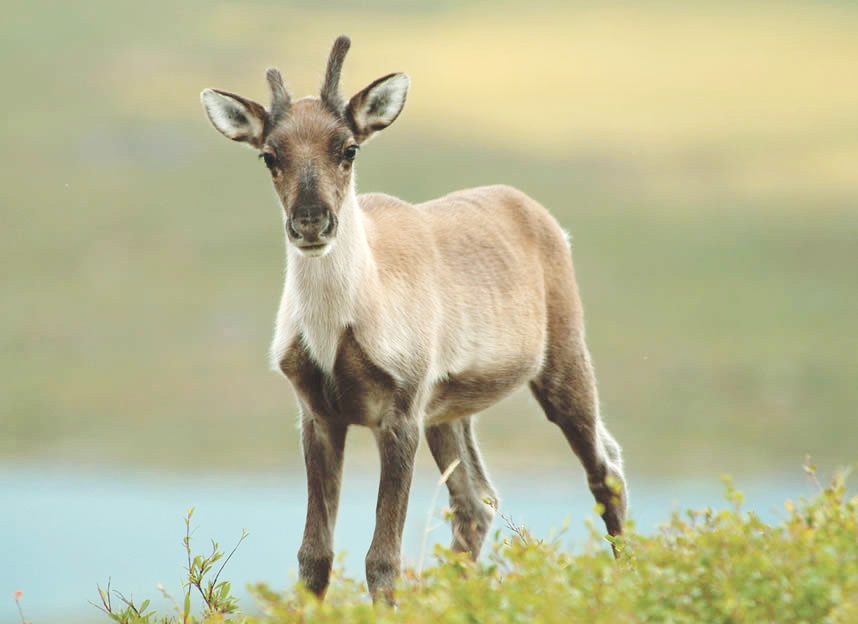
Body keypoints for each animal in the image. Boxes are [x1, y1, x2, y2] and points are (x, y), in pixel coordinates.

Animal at [202, 36, 628, 604]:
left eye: (348, 148)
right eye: (269, 155)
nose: (311, 221)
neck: (338, 329)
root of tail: (548, 221)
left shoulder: (400, 409)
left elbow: (382, 560)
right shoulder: (318, 414)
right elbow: (313, 557)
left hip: (563, 357)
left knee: (604, 468)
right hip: (449, 408)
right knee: (476, 502)